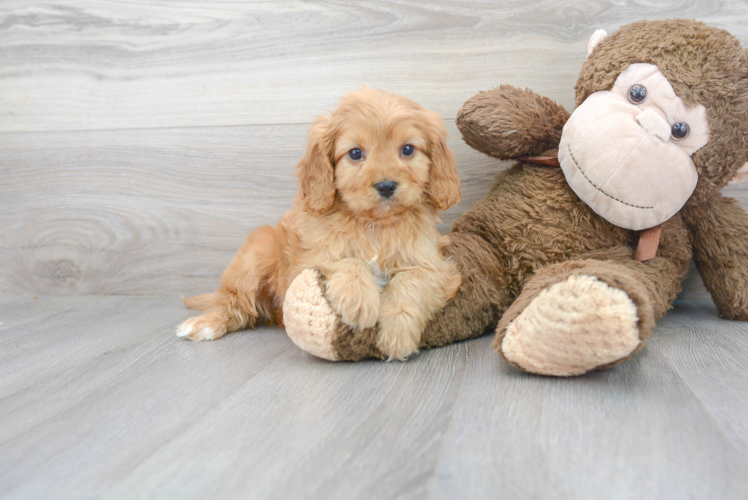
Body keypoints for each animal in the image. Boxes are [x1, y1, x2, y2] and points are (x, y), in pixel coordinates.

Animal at [180, 86, 462, 360]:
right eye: (355, 153)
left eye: (408, 149)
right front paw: (358, 299)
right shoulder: (311, 257)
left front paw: (397, 334)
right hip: (254, 257)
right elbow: (347, 260)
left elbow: (412, 282)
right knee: (235, 305)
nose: (386, 186)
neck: (373, 225)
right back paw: (206, 324)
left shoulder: (432, 264)